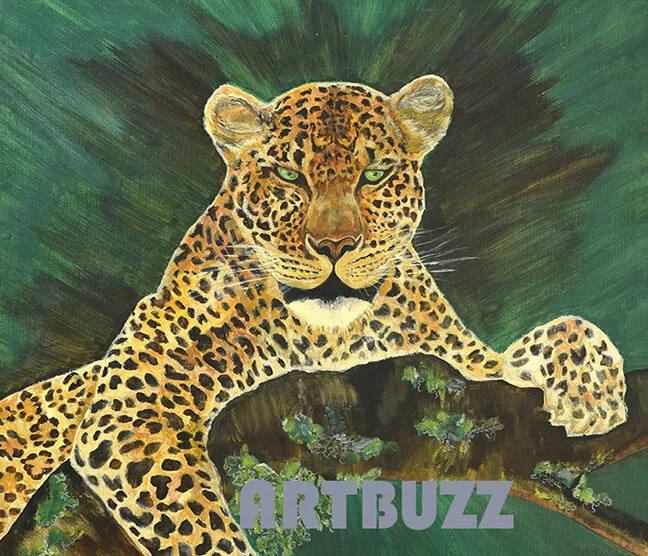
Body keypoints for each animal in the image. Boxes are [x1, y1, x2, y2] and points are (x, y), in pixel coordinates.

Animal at [0, 75, 627, 555]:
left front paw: (593, 392)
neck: (331, 336)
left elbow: (553, 336)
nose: (334, 244)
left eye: (374, 175)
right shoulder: (131, 405)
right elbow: (200, 529)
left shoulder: (466, 365)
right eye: (288, 176)